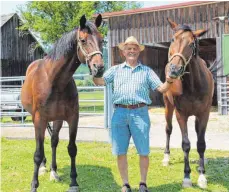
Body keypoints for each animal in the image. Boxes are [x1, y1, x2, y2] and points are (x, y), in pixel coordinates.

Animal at [21, 14, 104, 191]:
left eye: (101, 39)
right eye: (83, 40)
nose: (99, 68)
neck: (55, 80)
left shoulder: (73, 118)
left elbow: (72, 148)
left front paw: (73, 182)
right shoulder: (39, 119)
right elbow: (37, 153)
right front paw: (34, 184)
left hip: (57, 119)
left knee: (53, 141)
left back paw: (53, 172)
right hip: (38, 119)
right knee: (42, 144)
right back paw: (43, 168)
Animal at [162, 18, 214, 189]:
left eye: (191, 44)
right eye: (173, 39)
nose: (174, 69)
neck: (193, 85)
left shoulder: (204, 114)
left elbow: (201, 143)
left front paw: (202, 176)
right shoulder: (181, 115)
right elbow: (186, 144)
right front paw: (186, 177)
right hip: (168, 106)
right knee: (168, 129)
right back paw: (166, 157)